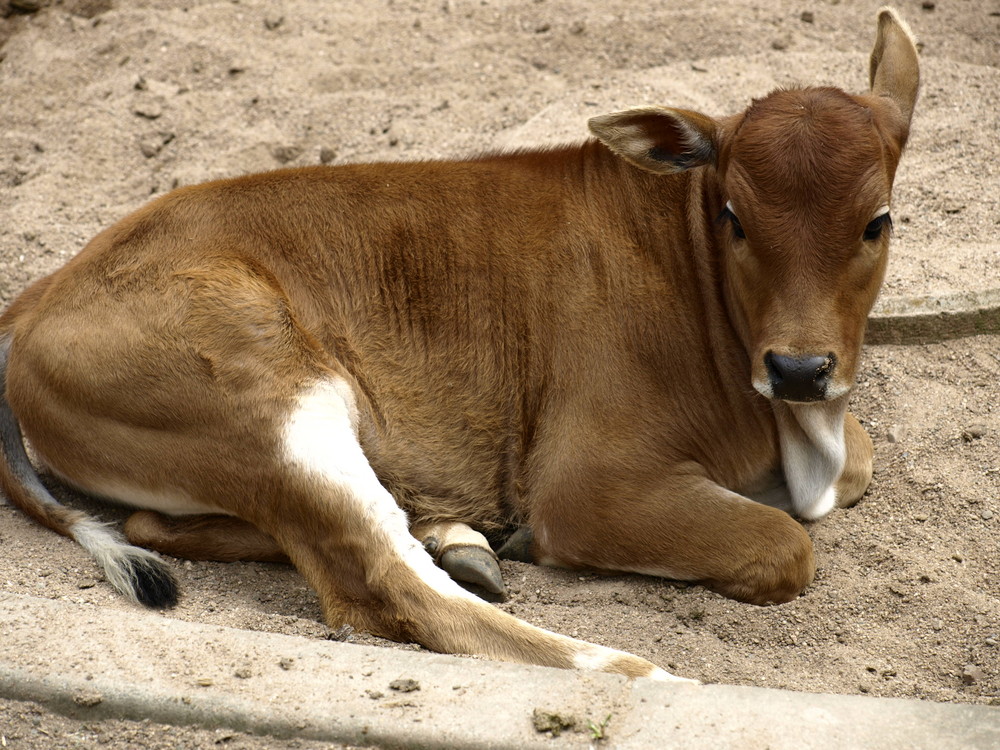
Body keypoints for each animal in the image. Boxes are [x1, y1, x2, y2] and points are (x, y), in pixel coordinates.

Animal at [0, 8, 916, 684]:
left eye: (877, 221)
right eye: (734, 217)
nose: (798, 368)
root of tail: (38, 293)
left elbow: (862, 460)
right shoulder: (588, 484)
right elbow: (787, 543)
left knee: (172, 522)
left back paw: (459, 538)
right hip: (268, 397)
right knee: (383, 584)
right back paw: (638, 672)